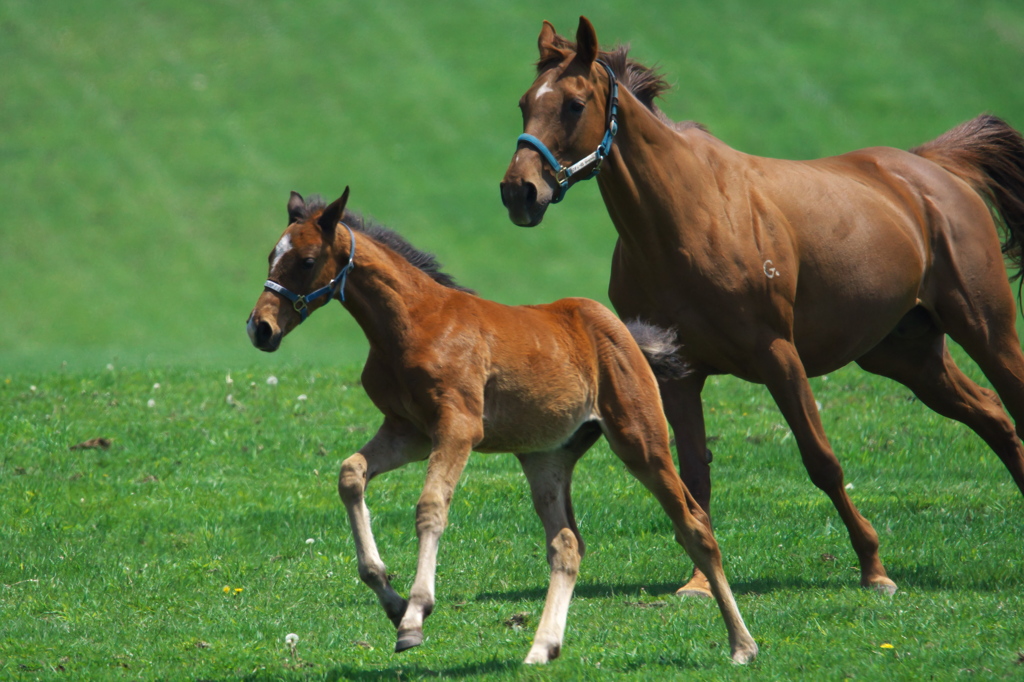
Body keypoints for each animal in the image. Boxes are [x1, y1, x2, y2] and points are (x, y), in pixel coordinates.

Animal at [246, 187, 757, 663]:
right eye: (271, 255)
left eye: (306, 260)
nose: (260, 328)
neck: (412, 324)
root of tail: (621, 332)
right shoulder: (409, 431)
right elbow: (350, 474)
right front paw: (389, 597)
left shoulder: (458, 427)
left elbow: (430, 507)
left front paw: (414, 616)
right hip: (545, 457)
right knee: (567, 545)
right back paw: (541, 648)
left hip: (641, 441)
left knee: (694, 526)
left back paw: (742, 645)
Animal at [499, 17, 1024, 593]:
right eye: (524, 103)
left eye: (573, 105)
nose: (519, 192)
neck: (687, 217)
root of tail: (932, 171)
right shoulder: (678, 375)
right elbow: (695, 473)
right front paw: (699, 583)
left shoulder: (778, 355)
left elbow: (822, 461)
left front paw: (874, 567)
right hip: (908, 358)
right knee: (993, 416)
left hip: (988, 331)